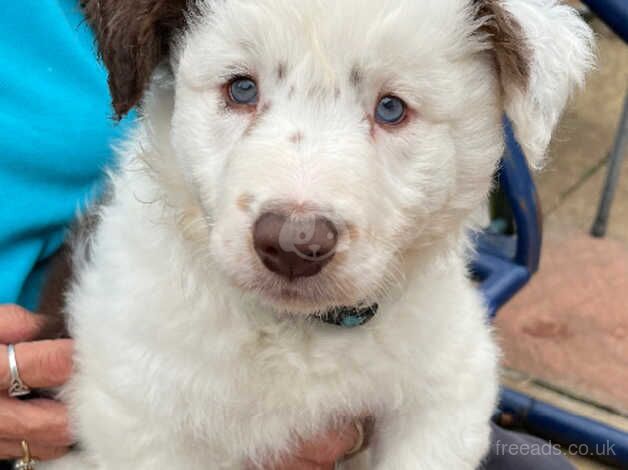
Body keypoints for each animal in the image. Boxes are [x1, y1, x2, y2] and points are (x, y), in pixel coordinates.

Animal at [40, 0, 592, 468]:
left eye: (391, 108)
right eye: (241, 89)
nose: (294, 243)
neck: (297, 331)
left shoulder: (450, 384)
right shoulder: (137, 412)